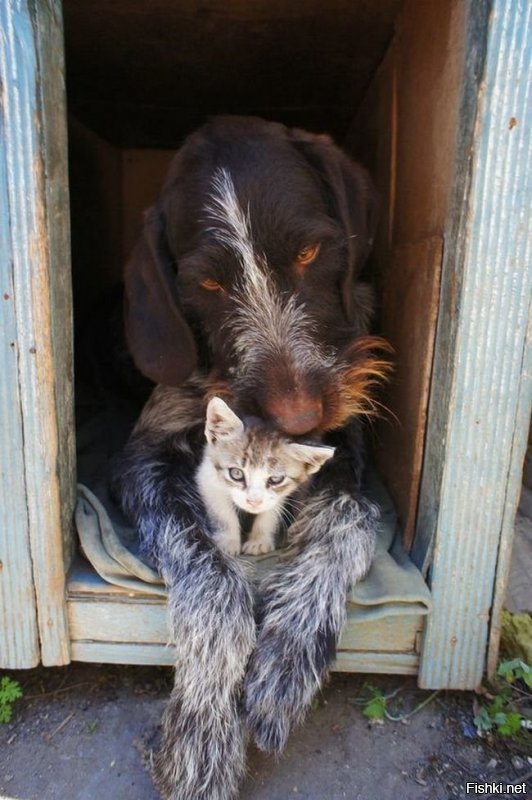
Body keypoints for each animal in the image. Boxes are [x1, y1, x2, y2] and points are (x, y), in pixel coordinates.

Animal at [197, 396, 334, 556]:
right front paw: (227, 542)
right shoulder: (207, 478)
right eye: (236, 473)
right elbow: (223, 513)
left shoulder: (280, 494)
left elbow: (271, 512)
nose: (253, 502)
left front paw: (259, 540)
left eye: (275, 479)